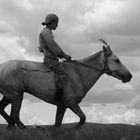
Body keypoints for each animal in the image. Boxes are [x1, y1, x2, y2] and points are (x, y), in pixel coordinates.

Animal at [0, 40, 132, 129]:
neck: (79, 73)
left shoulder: (62, 106)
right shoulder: (71, 103)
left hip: (9, 96)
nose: (129, 76)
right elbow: (82, 119)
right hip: (17, 96)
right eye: (117, 60)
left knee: (5, 111)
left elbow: (57, 124)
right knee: (15, 116)